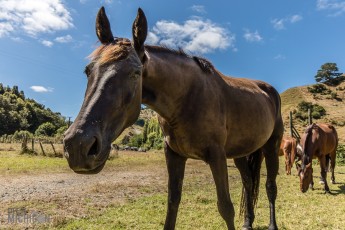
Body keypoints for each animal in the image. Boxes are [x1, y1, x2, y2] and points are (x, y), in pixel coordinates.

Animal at [62, 7, 282, 230]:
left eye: (135, 73)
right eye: (88, 71)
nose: (78, 146)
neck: (186, 100)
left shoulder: (217, 156)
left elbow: (226, 207)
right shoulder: (174, 155)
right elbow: (172, 203)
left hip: (271, 147)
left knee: (270, 186)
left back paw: (272, 225)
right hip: (241, 153)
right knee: (248, 182)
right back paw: (248, 222)